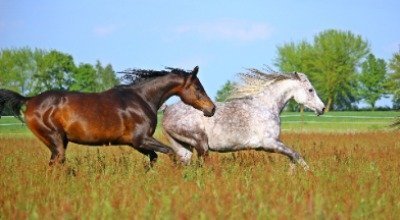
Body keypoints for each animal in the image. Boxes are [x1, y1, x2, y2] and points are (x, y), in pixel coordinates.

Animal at [0, 66, 216, 166]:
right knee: (56, 164)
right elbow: (170, 153)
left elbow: (153, 158)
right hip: (55, 140)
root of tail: (30, 100)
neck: (142, 99)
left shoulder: (135, 143)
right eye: (198, 88)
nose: (212, 109)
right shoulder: (141, 139)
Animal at [162, 69, 324, 171]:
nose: (322, 108)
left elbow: (293, 157)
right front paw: (308, 174)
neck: (265, 106)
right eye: (310, 90)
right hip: (201, 144)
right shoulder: (270, 143)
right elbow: (295, 155)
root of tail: (166, 109)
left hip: (184, 148)